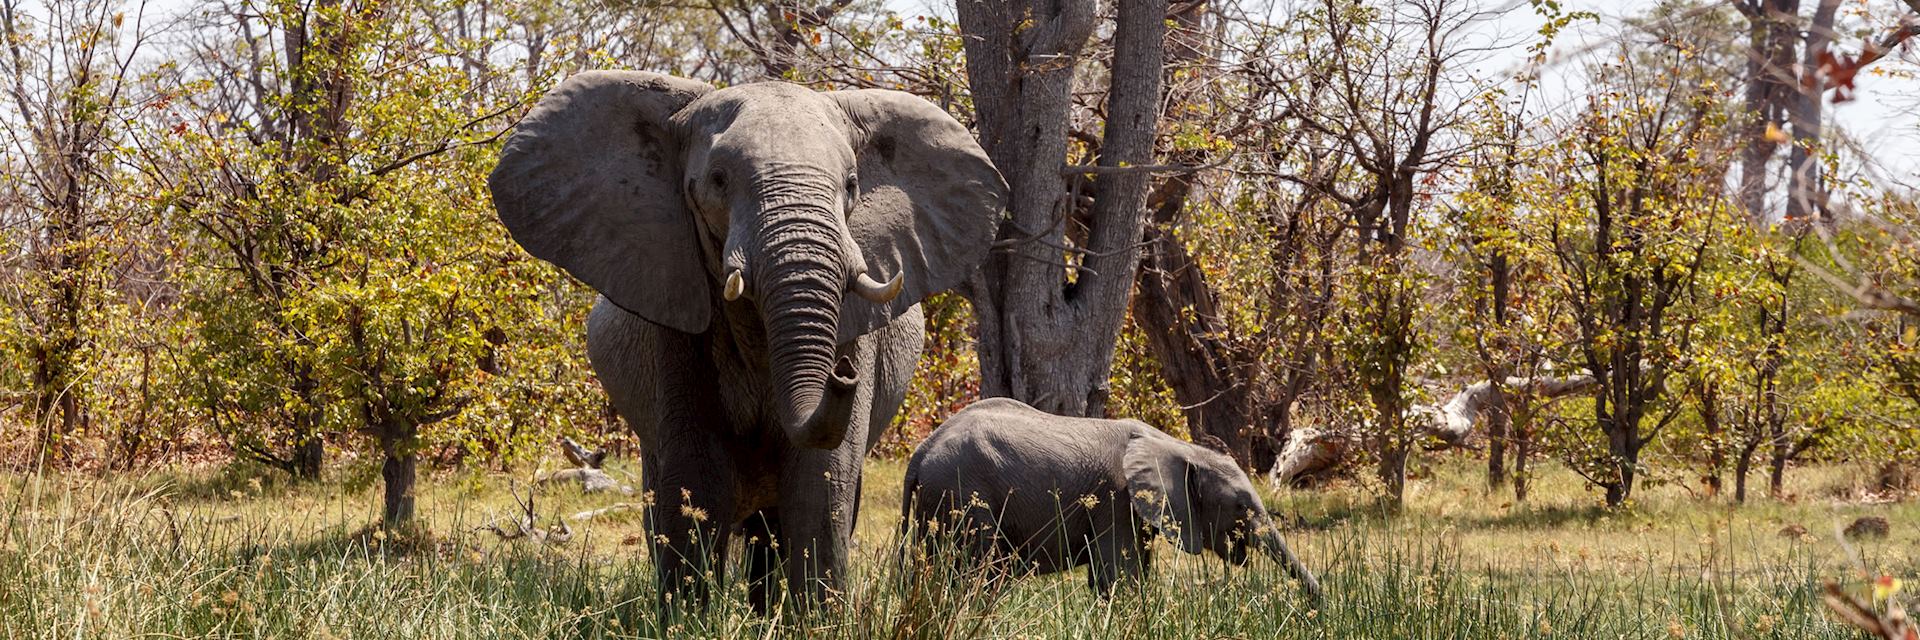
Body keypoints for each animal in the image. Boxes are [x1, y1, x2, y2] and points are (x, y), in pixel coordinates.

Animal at [487, 71, 1006, 607]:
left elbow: (821, 485)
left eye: (851, 185)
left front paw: (814, 618)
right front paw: (688, 617)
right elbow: (696, 478)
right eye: (718, 180)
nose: (843, 375)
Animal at [898, 395, 1320, 599]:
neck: (1179, 447)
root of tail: (921, 450)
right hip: (963, 494)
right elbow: (1122, 577)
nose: (1321, 601)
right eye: (1240, 506)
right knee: (976, 573)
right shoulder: (1115, 501)